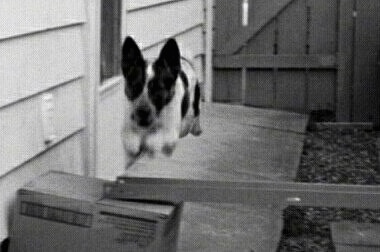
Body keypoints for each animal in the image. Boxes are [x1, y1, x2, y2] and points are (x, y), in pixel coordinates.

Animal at [121, 36, 202, 167]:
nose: (142, 112)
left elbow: (155, 141)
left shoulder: (170, 134)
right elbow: (131, 142)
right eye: (135, 86)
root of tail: (184, 61)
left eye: (158, 88)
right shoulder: (129, 130)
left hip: (189, 117)